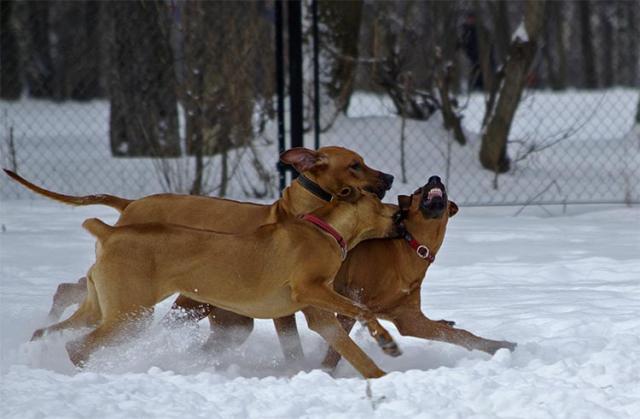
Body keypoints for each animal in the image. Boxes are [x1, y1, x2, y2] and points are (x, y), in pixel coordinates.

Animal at [38, 189, 400, 378]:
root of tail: (110, 232)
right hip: (129, 314)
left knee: (49, 331)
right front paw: (385, 341)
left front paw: (382, 376)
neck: (325, 230)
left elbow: (350, 347)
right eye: (380, 202)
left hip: (99, 308)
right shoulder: (310, 289)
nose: (401, 208)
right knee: (77, 346)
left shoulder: (320, 311)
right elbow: (363, 310)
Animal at [322, 176, 516, 370]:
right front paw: (326, 370)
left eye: (442, 187)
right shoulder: (352, 299)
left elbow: (460, 334)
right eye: (417, 190)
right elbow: (336, 348)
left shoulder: (408, 317)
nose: (435, 178)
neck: (410, 247)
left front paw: (497, 346)